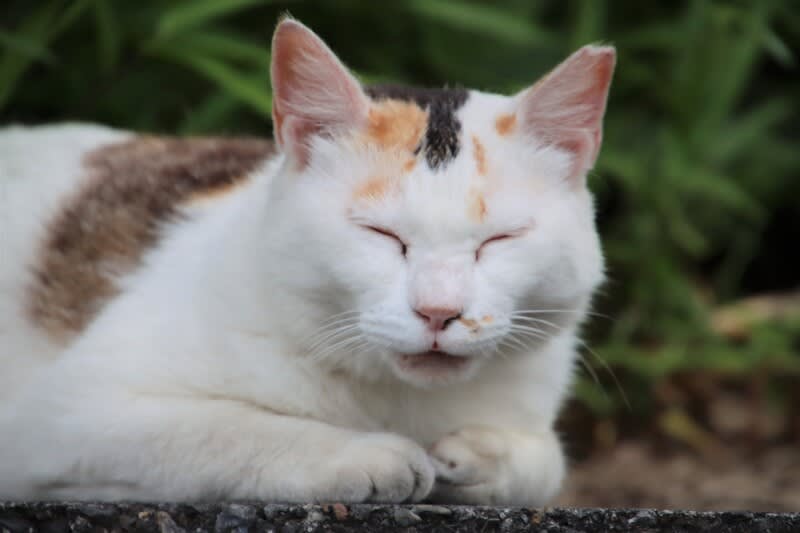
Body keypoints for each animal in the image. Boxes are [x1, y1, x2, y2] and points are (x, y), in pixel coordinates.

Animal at [0, 14, 616, 500]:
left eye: (500, 240)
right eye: (381, 234)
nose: (439, 312)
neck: (401, 402)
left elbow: (546, 462)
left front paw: (481, 458)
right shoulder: (66, 414)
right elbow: (230, 429)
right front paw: (361, 456)